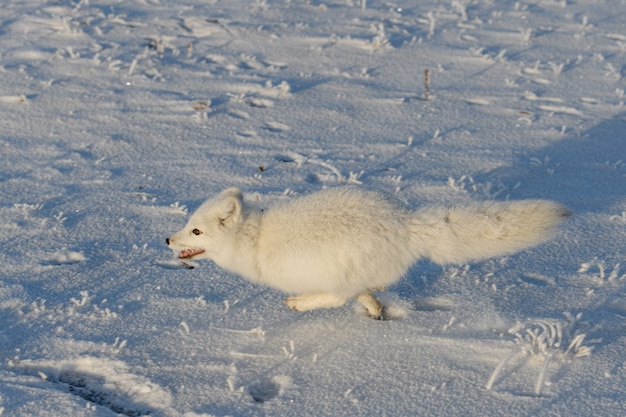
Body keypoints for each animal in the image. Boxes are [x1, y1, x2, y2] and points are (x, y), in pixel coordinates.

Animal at [163, 187, 568, 316]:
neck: (256, 238)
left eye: (196, 231)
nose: (166, 240)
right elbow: (364, 294)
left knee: (339, 295)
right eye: (188, 224)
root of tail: (403, 220)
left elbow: (342, 296)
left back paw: (302, 303)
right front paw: (375, 306)